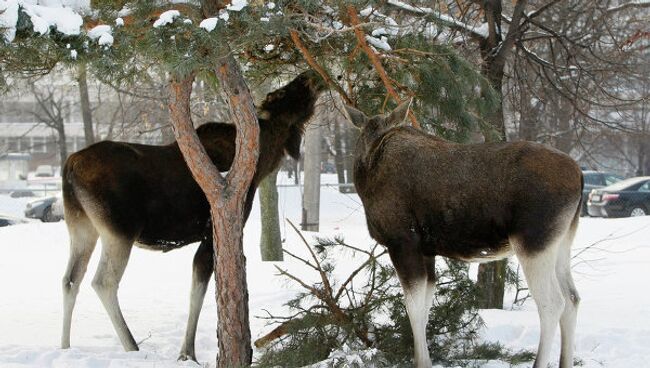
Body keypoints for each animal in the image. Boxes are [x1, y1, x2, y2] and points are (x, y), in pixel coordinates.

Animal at [60, 70, 324, 360]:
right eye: (284, 92)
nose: (311, 74)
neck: (262, 162)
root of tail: (69, 166)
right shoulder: (212, 233)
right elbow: (198, 292)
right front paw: (188, 353)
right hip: (120, 231)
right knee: (103, 282)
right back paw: (132, 346)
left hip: (81, 226)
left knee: (70, 279)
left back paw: (64, 346)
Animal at [344, 100, 584, 368]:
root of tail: (580, 175)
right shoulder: (426, 251)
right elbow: (425, 309)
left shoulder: (402, 242)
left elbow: (413, 309)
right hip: (562, 241)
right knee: (572, 298)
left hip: (533, 243)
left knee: (552, 303)